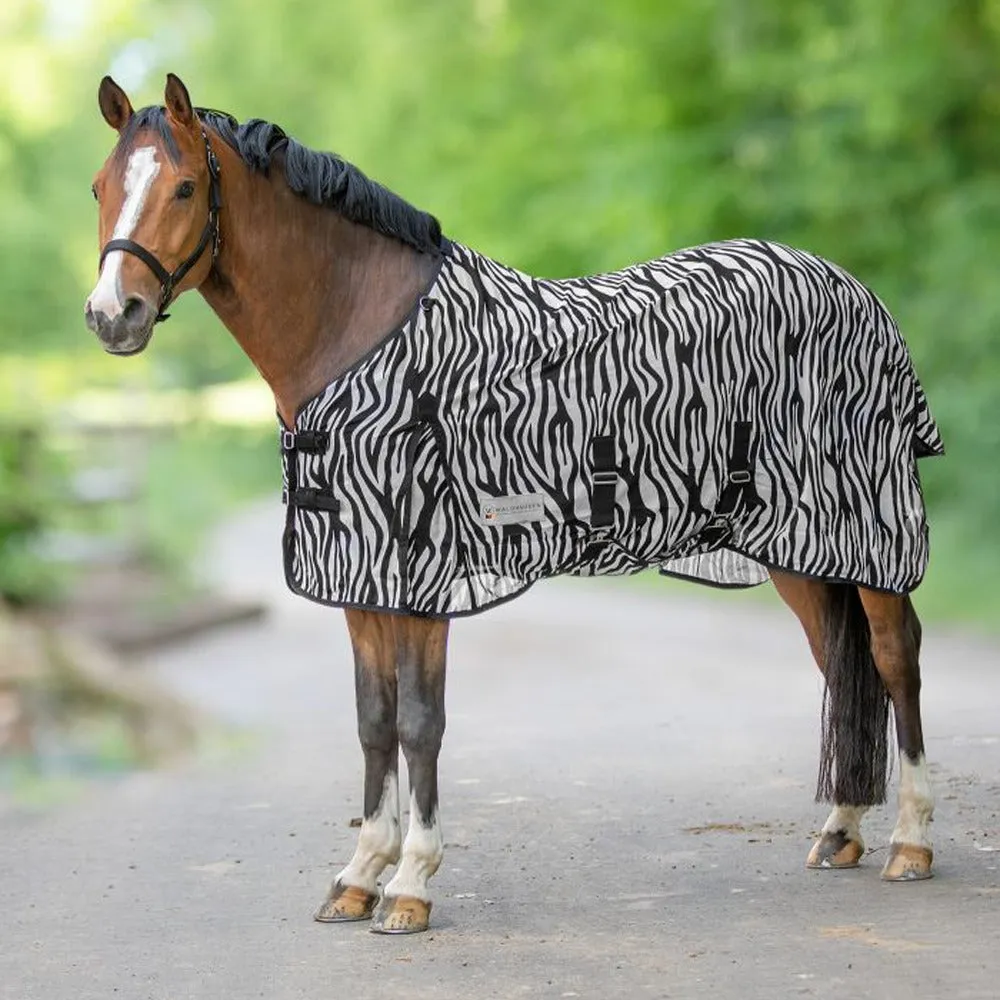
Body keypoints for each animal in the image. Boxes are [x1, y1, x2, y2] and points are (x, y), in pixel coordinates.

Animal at [86, 74, 942, 935]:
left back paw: (910, 843)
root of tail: (854, 289)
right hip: (800, 548)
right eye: (99, 187)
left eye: (185, 186)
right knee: (839, 663)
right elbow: (372, 721)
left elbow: (420, 724)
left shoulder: (420, 576)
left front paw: (410, 885)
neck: (359, 332)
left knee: (895, 659)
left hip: (870, 531)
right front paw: (359, 876)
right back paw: (840, 831)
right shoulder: (361, 577)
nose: (112, 315)